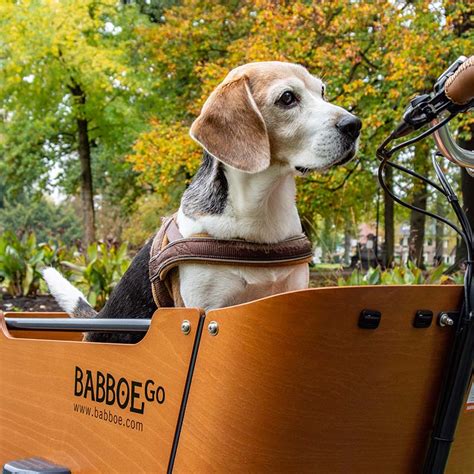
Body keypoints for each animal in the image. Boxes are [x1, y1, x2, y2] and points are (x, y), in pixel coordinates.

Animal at [44, 63, 362, 342]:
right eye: (287, 98)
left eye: (322, 91)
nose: (354, 124)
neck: (263, 208)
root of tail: (96, 321)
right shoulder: (204, 309)